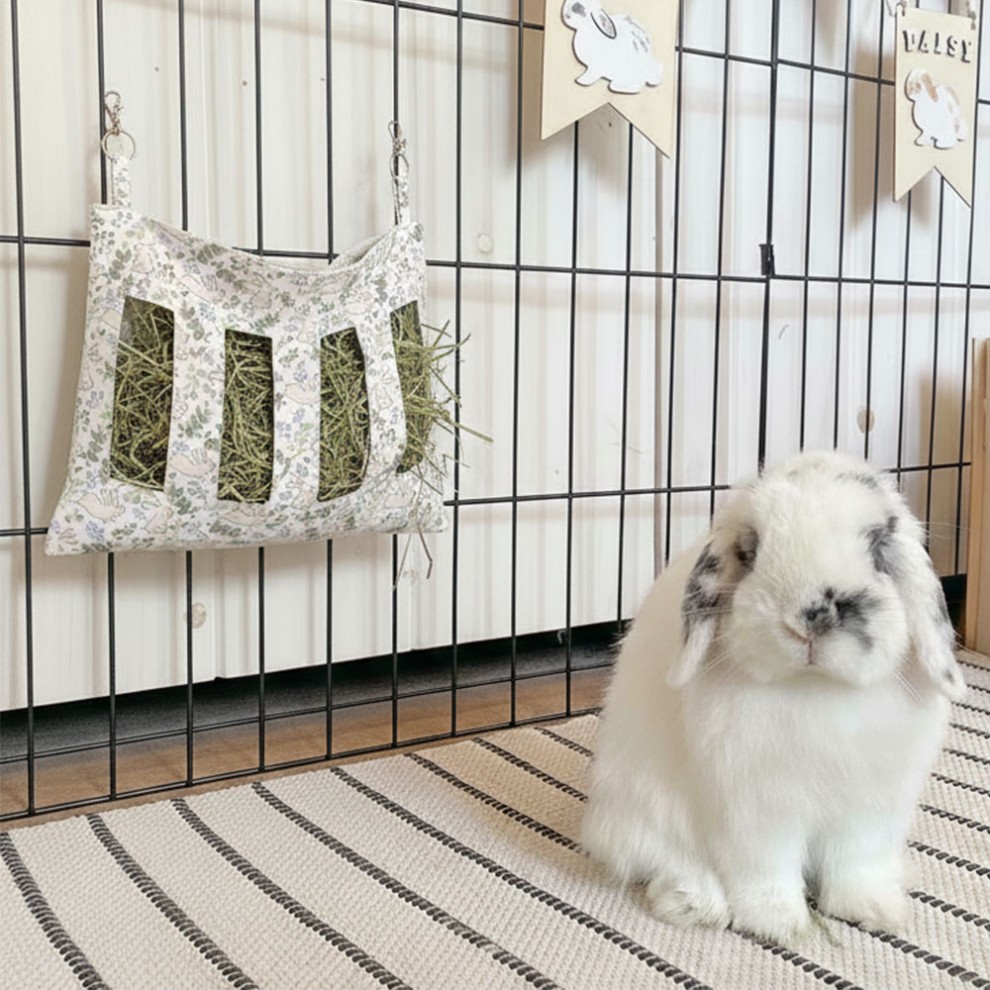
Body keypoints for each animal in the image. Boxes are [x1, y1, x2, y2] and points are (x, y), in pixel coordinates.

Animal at [581, 450, 965, 945]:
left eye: (878, 548)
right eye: (750, 552)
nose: (810, 618)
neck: (815, 687)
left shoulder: (868, 813)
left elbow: (856, 867)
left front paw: (873, 910)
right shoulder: (756, 812)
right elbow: (766, 872)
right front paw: (778, 924)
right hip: (643, 813)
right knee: (667, 860)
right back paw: (695, 904)